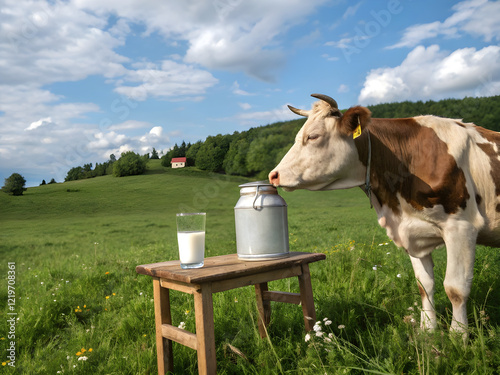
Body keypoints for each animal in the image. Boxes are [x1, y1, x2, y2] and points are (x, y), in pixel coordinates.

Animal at [270, 94, 500, 334]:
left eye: (313, 136)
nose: (273, 175)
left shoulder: (461, 227)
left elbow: (456, 289)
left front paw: (458, 336)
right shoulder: (412, 231)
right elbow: (425, 285)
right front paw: (428, 332)